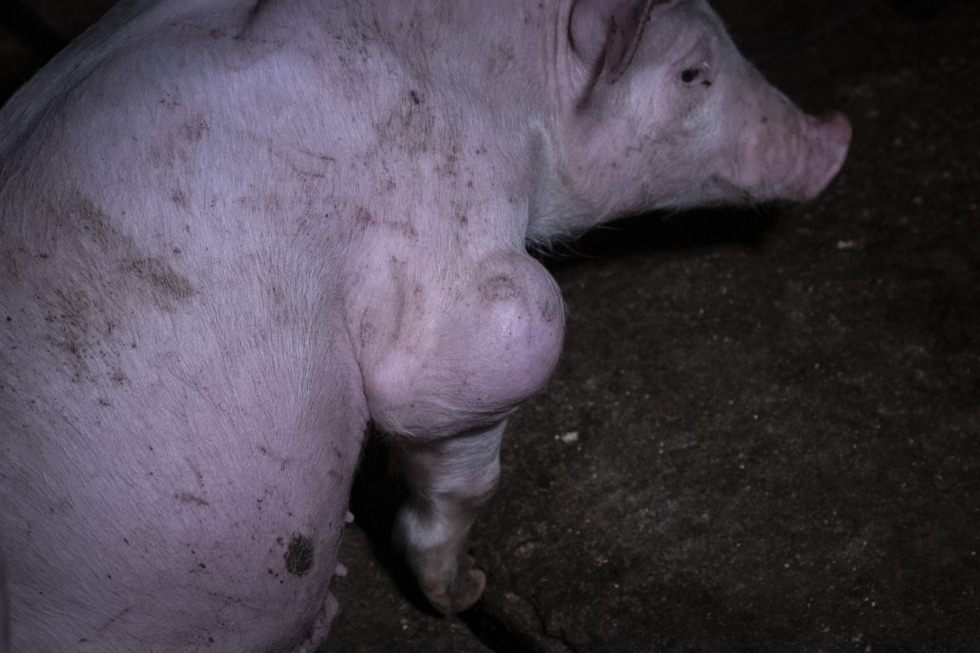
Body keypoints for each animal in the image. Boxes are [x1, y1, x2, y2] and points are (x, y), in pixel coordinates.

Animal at [0, 0, 848, 648]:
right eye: (693, 73)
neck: (509, 85)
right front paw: (461, 591)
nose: (837, 134)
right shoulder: (466, 288)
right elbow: (488, 373)